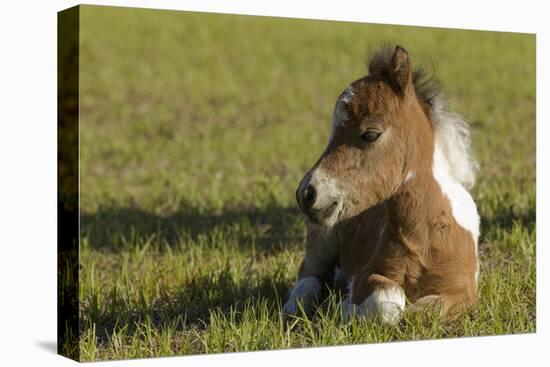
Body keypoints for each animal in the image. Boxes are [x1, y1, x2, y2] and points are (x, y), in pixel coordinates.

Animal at [286, 46, 480, 324]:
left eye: (370, 134)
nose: (307, 194)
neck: (425, 235)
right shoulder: (369, 273)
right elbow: (390, 302)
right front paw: (344, 307)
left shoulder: (464, 290)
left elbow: (424, 311)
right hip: (321, 238)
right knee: (308, 276)